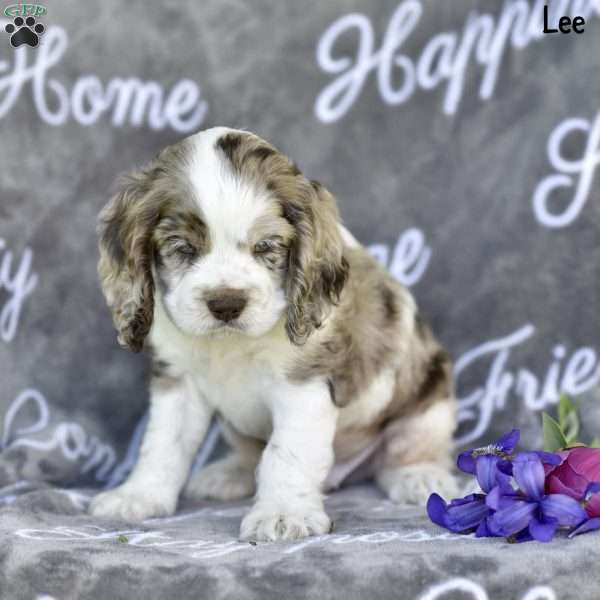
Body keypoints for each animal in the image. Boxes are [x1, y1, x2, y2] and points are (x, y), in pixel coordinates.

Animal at [89, 126, 458, 540]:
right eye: (182, 248)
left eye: (266, 247)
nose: (226, 304)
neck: (231, 346)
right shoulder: (178, 380)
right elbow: (163, 443)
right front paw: (138, 496)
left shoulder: (303, 384)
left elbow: (285, 453)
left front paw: (284, 514)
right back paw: (229, 474)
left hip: (428, 402)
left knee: (405, 451)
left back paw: (420, 476)